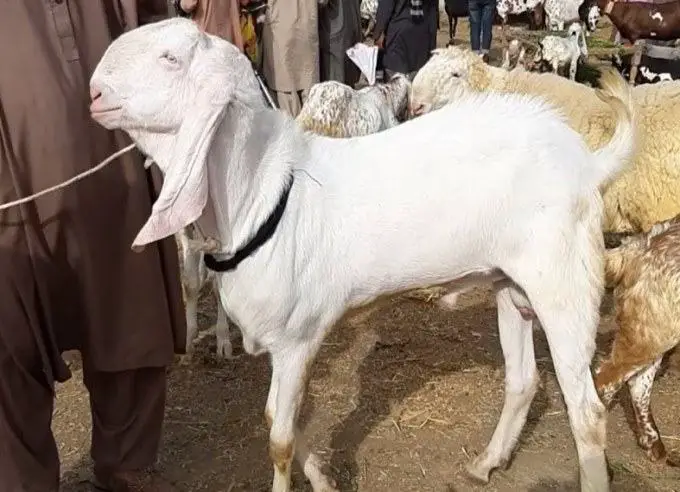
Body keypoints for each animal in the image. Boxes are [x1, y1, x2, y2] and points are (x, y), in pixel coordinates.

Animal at [90, 18, 635, 492]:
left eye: (171, 58)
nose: (94, 92)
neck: (262, 195)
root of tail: (587, 163)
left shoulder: (297, 339)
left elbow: (280, 439)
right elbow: (279, 418)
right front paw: (325, 480)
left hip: (564, 284)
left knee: (587, 412)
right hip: (512, 283)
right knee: (523, 381)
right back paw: (486, 463)